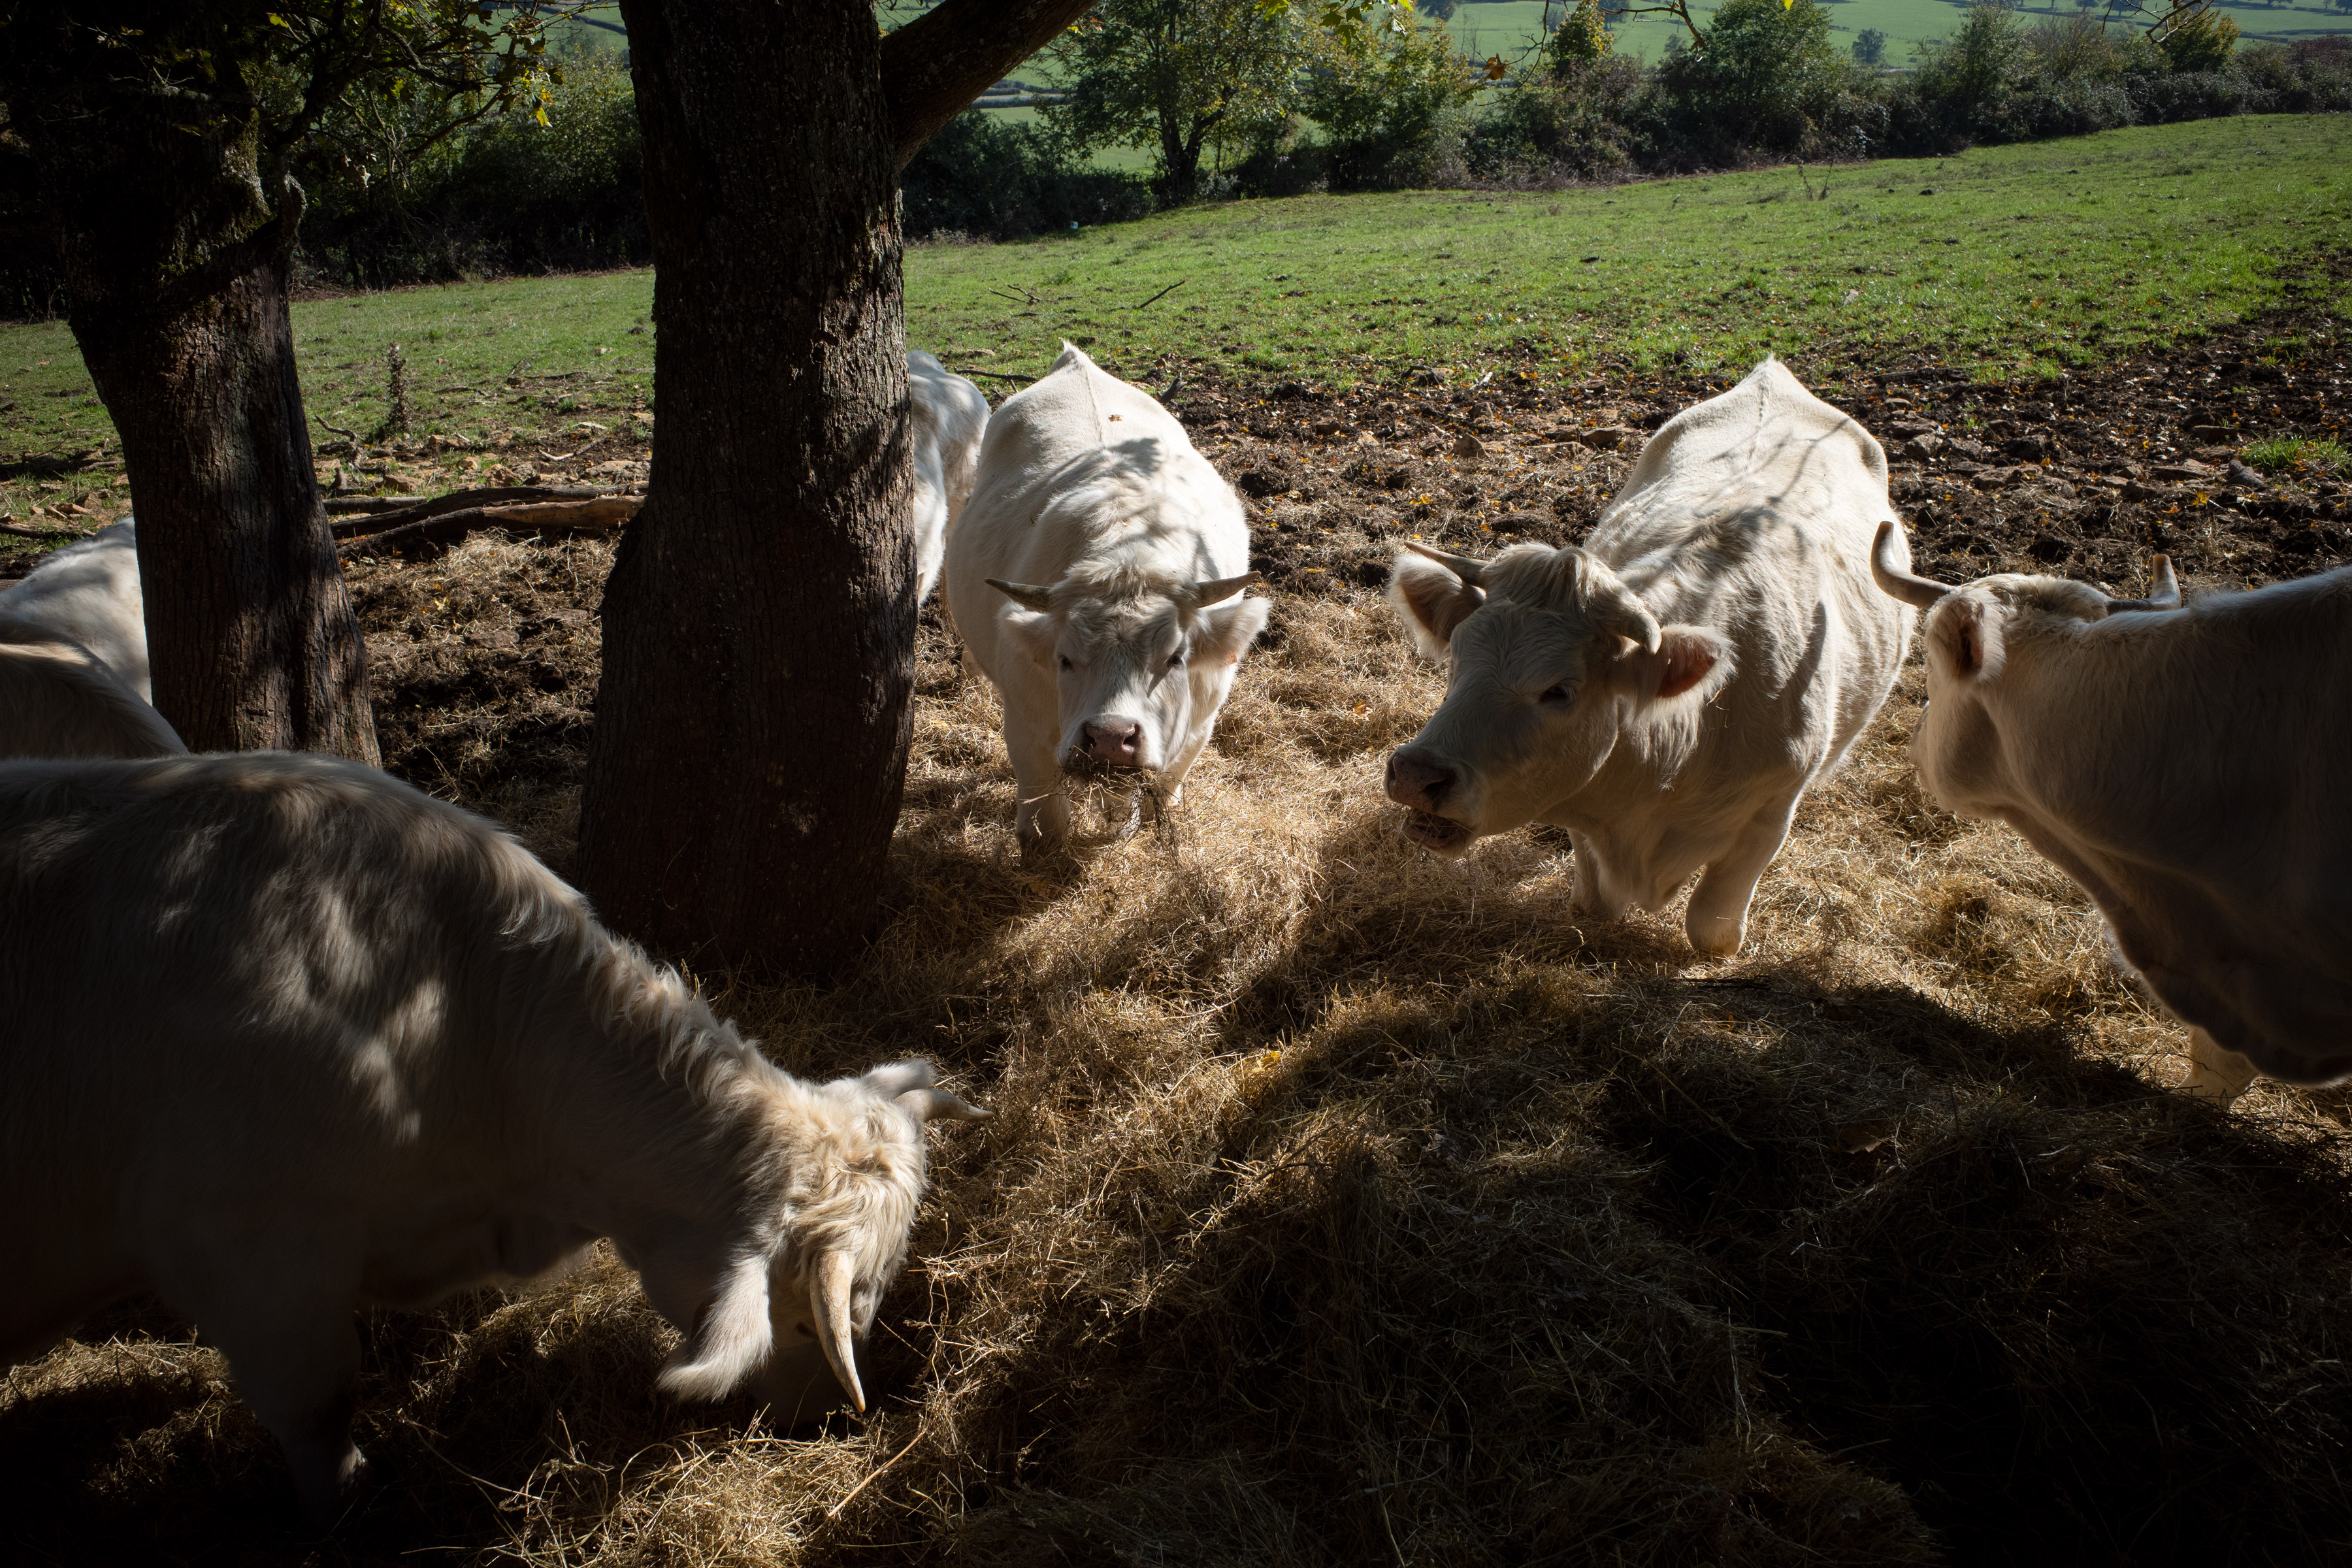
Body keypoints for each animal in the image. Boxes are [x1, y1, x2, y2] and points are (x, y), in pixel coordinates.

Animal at [941, 345, 1270, 860]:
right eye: (1065, 659)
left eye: (1175, 658)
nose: (1111, 738)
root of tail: (1077, 361)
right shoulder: (1024, 722)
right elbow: (1043, 806)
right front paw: (1040, 848)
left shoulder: (1202, 721)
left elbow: (1158, 789)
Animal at [1382, 359, 1919, 959]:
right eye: (1456, 659)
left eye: (1559, 691)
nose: (1417, 774)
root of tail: (1773, 375)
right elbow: (1594, 905)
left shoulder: (1770, 815)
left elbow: (1712, 931)